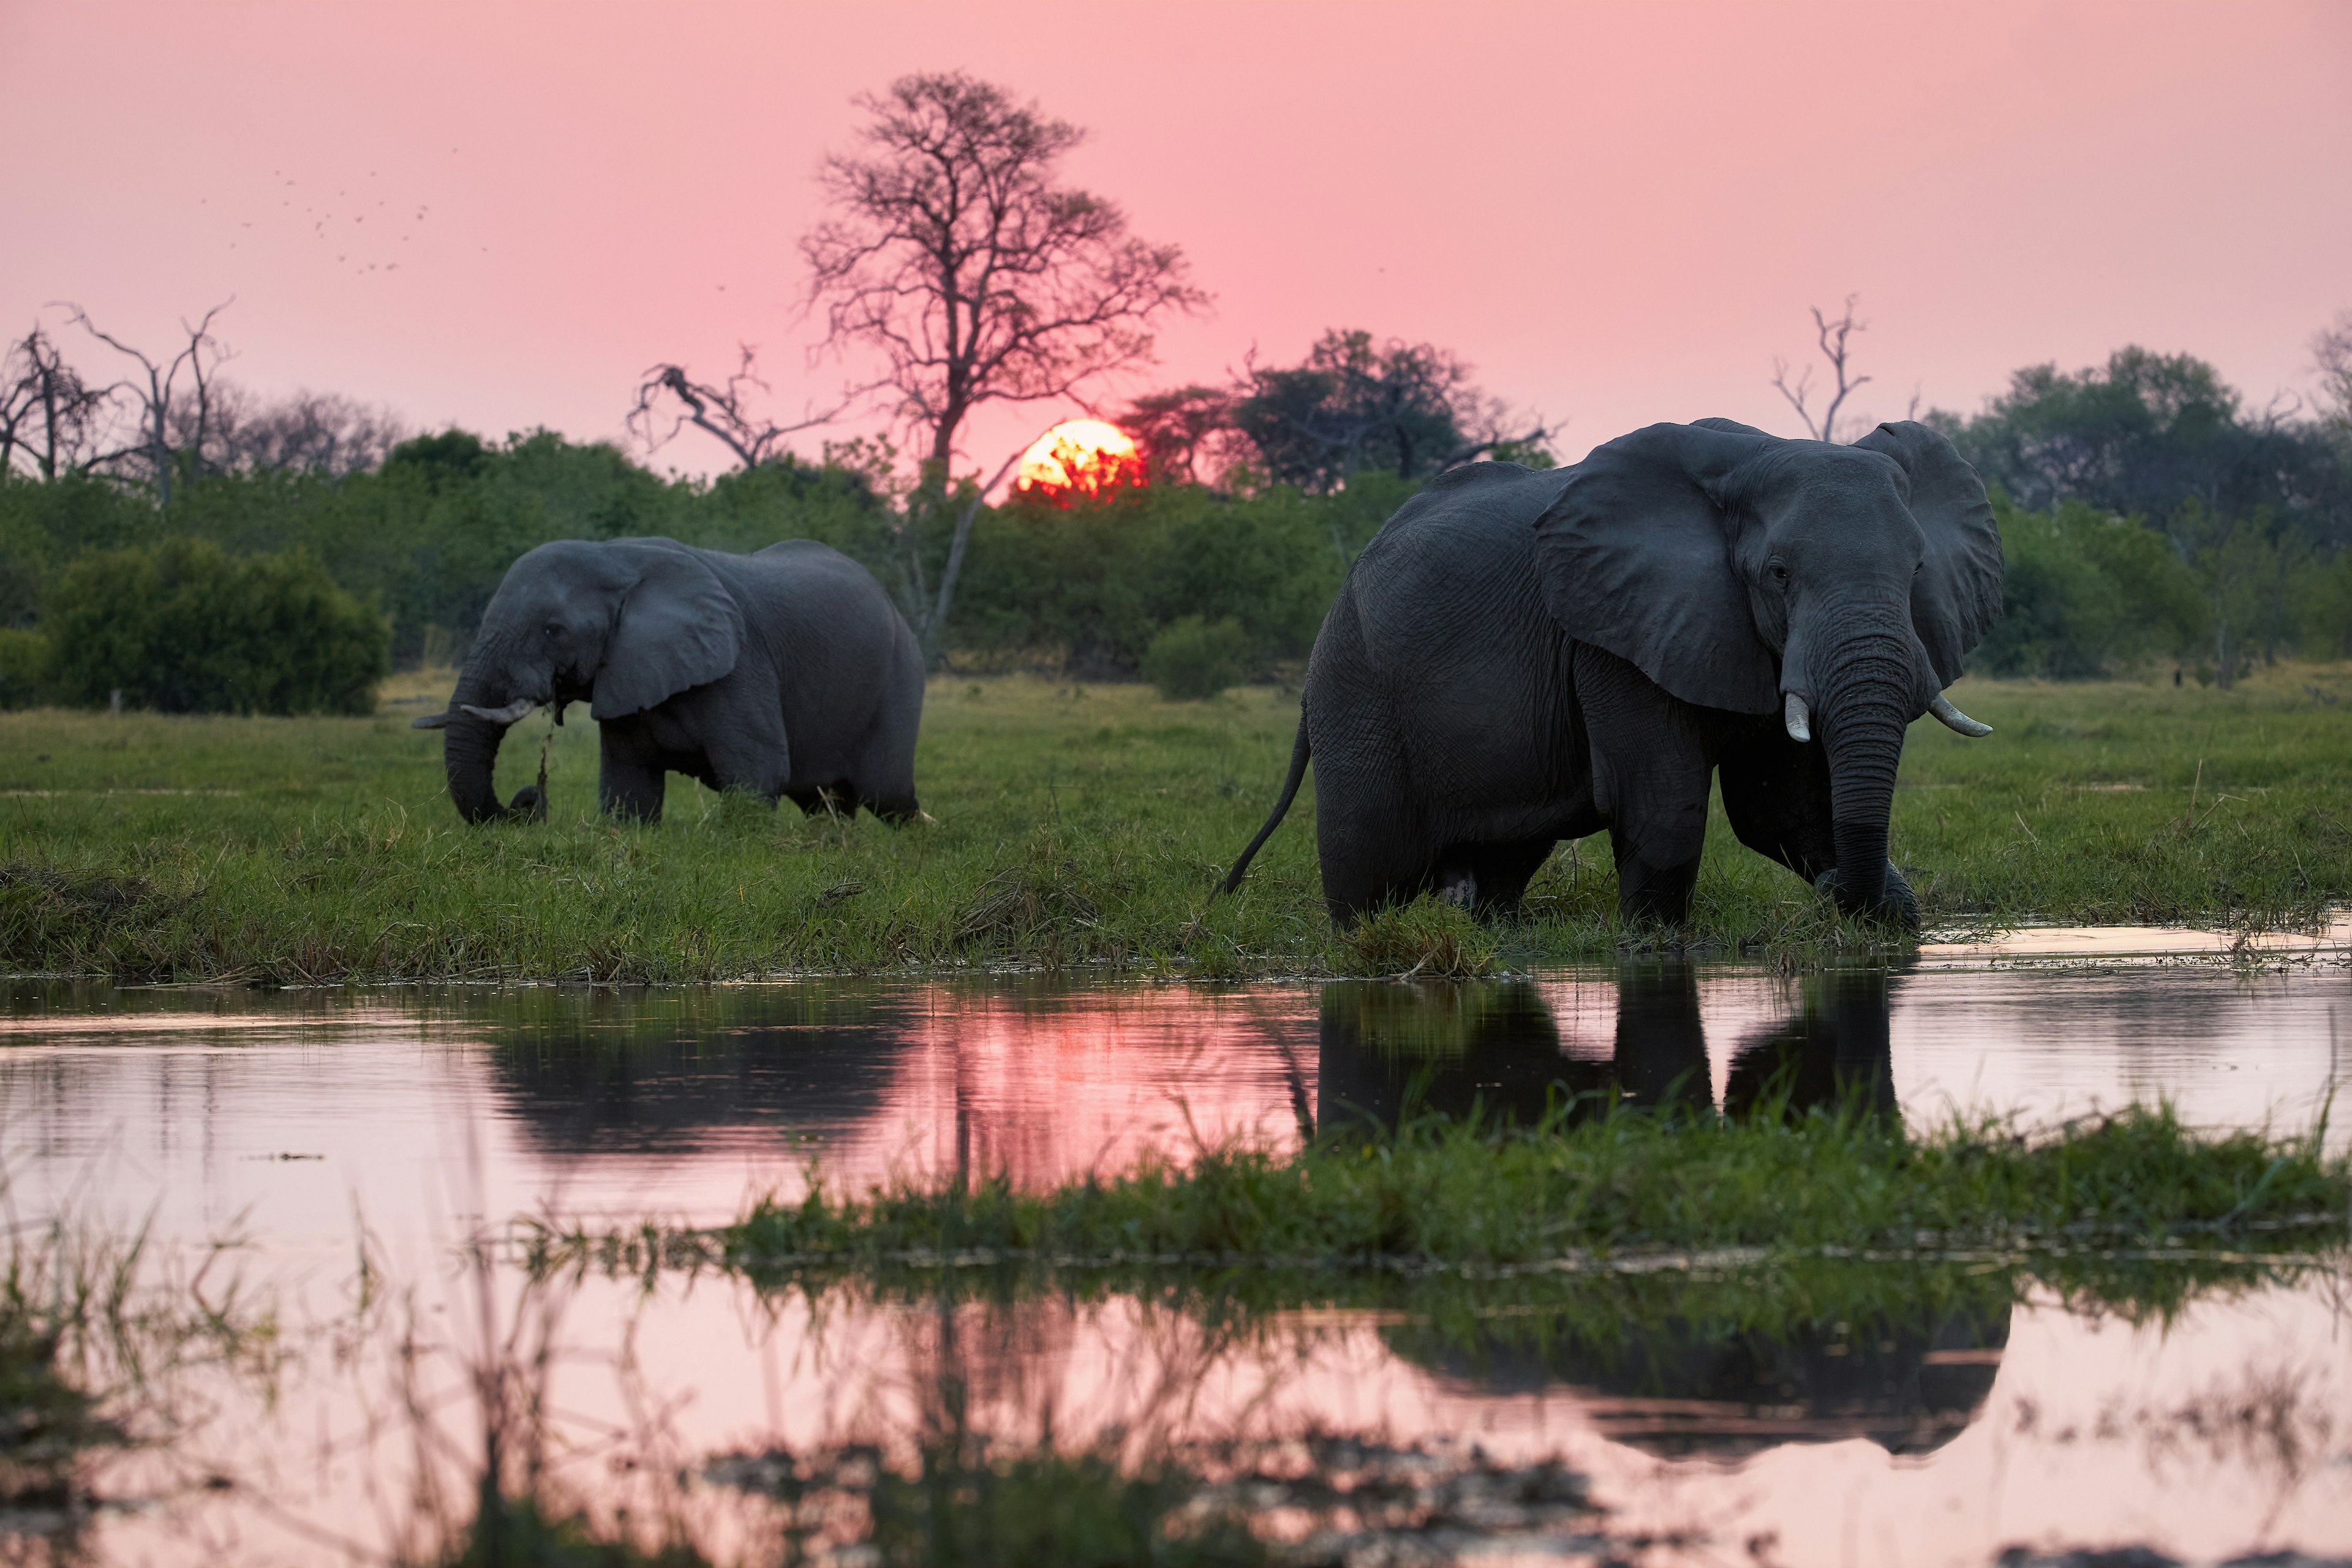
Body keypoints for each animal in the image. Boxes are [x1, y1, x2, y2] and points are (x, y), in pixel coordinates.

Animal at [409, 540, 922, 827]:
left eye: (553, 630)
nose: (529, 799)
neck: (618, 556)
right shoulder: (624, 675)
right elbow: (628, 787)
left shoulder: (740, 663)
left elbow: (758, 774)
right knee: (825, 803)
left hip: (901, 676)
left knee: (887, 795)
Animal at [1213, 416, 2003, 930]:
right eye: (1778, 574)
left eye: (1918, 570)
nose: (1839, 893)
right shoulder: (1610, 633)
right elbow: (1667, 808)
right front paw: (1653, 946)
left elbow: (1782, 810)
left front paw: (1889, 922)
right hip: (1357, 687)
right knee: (1368, 864)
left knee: (1500, 862)